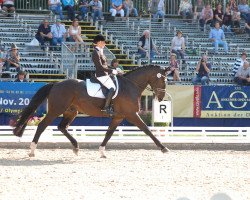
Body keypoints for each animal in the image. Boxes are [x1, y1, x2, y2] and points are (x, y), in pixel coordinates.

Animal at [13, 65, 170, 157]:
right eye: (164, 81)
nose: (161, 98)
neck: (130, 86)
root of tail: (56, 84)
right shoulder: (131, 115)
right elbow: (147, 130)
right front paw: (163, 148)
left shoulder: (118, 117)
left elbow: (109, 133)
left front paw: (101, 151)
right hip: (56, 110)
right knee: (42, 126)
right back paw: (32, 150)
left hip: (72, 111)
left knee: (62, 127)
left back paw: (76, 147)